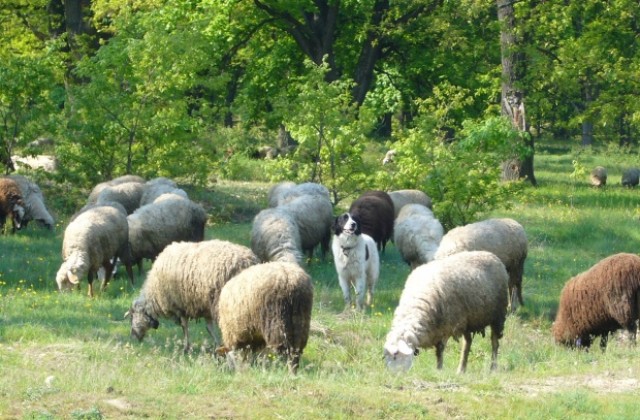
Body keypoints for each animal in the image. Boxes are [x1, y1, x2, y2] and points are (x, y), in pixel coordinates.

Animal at [125, 240, 258, 352]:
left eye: (131, 318)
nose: (133, 338)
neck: (154, 296)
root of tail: (248, 261)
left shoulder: (180, 306)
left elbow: (185, 327)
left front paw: (186, 348)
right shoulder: (205, 306)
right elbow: (209, 328)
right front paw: (217, 345)